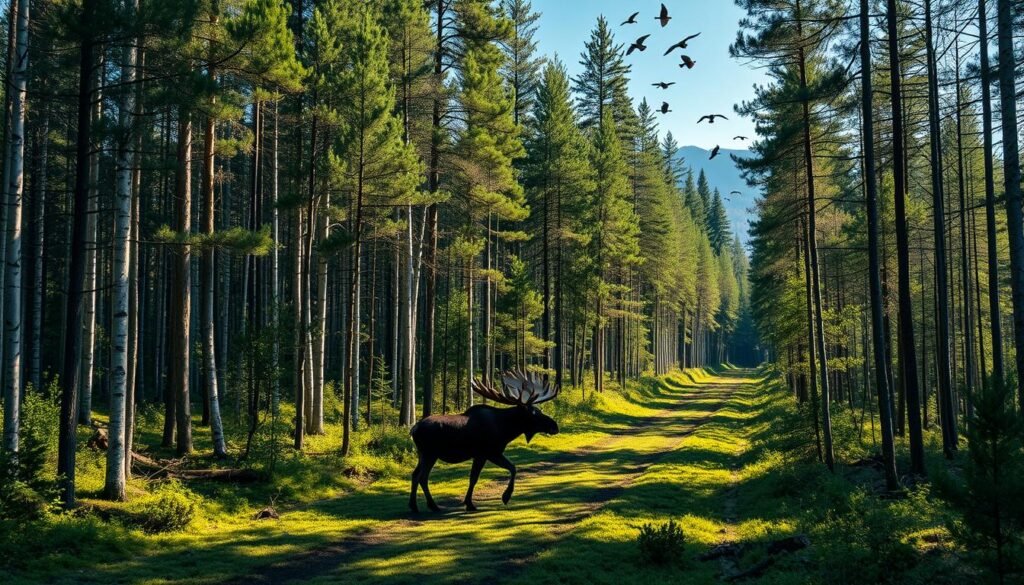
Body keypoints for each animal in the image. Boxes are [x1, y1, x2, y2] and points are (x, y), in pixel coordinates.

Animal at [408, 370, 560, 513]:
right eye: (535, 413)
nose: (555, 426)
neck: (506, 429)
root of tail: (414, 429)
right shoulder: (486, 453)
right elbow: (476, 477)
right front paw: (495, 499)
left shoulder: (490, 453)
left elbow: (511, 468)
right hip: (430, 454)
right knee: (422, 477)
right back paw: (433, 505)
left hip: (423, 454)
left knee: (415, 475)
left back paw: (414, 506)